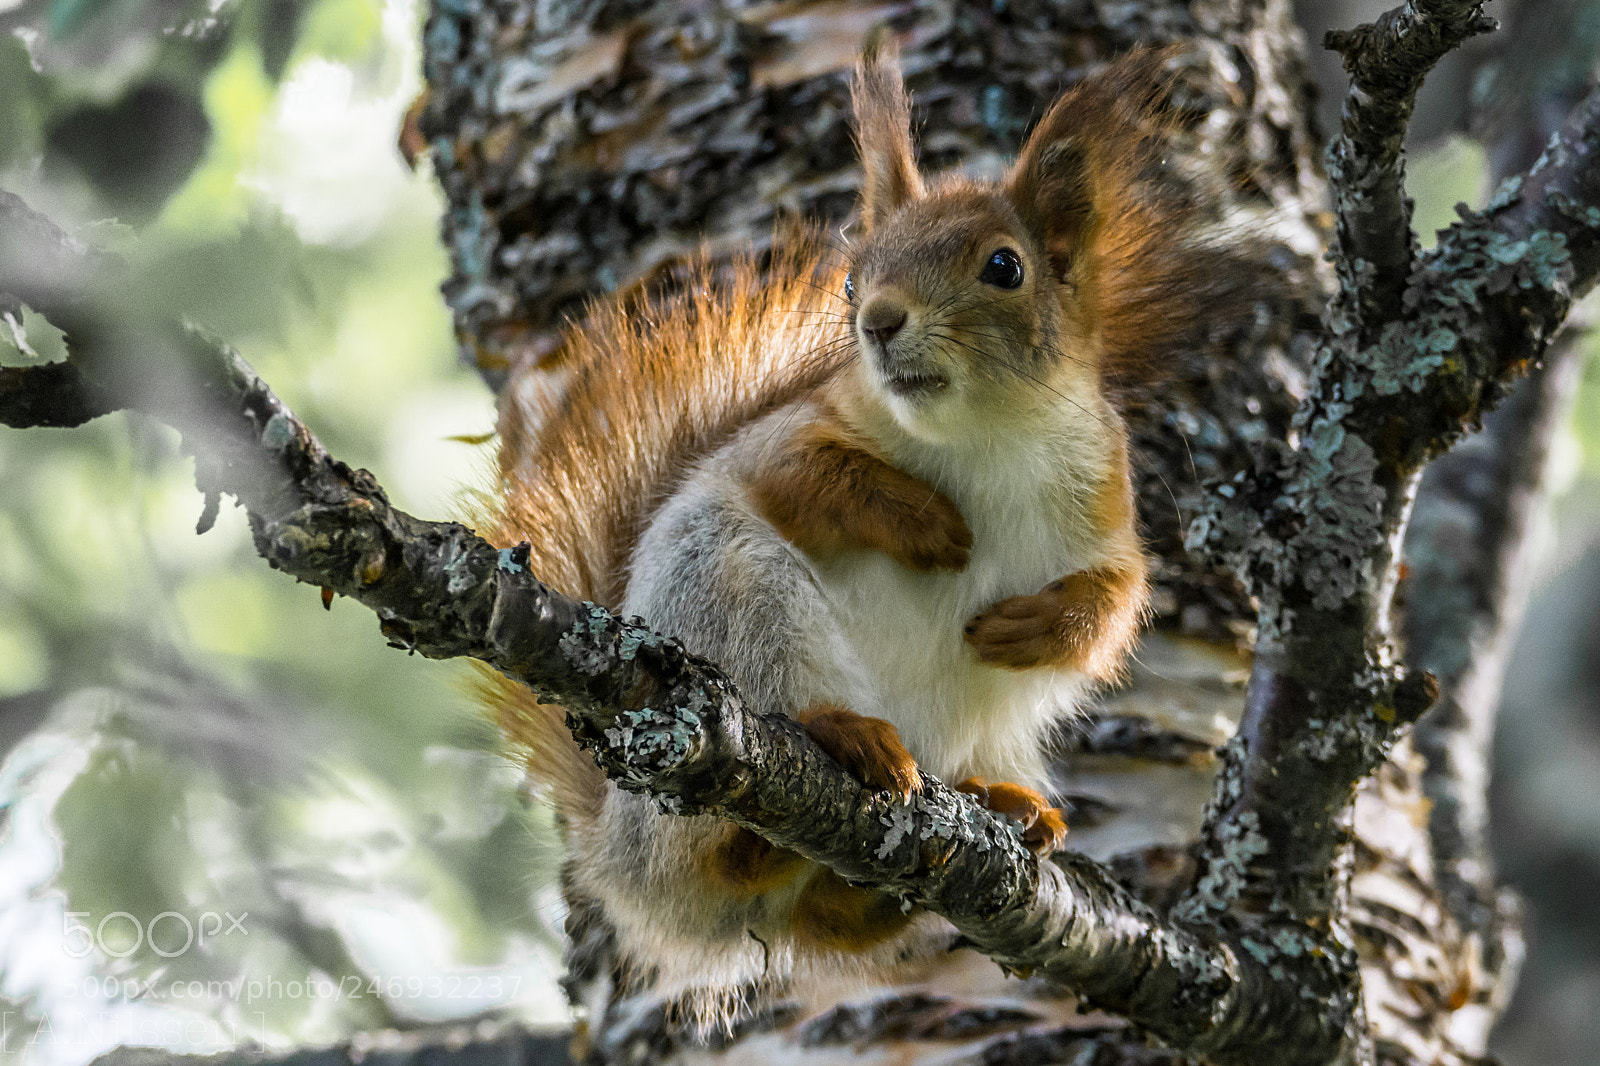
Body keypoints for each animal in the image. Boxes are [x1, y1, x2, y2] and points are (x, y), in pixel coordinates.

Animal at [480, 44, 1237, 1029]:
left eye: (1005, 266)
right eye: (851, 278)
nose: (877, 321)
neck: (984, 434)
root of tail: (622, 862)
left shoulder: (1106, 504)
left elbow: (1116, 600)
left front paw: (1030, 627)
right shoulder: (786, 438)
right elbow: (809, 479)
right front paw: (927, 522)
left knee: (828, 915)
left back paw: (999, 815)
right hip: (735, 592)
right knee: (736, 805)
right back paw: (841, 743)